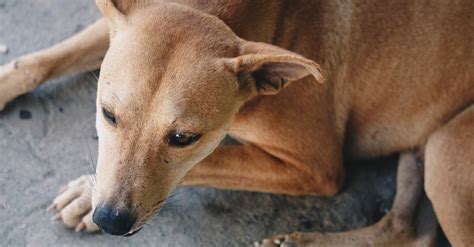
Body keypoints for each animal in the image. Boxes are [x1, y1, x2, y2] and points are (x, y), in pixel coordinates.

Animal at [0, 0, 472, 246]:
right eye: (108, 113)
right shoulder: (135, 17)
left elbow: (210, 162)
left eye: (184, 138)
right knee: (407, 230)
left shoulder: (316, 167)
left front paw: (84, 190)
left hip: (448, 154)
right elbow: (35, 62)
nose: (111, 220)